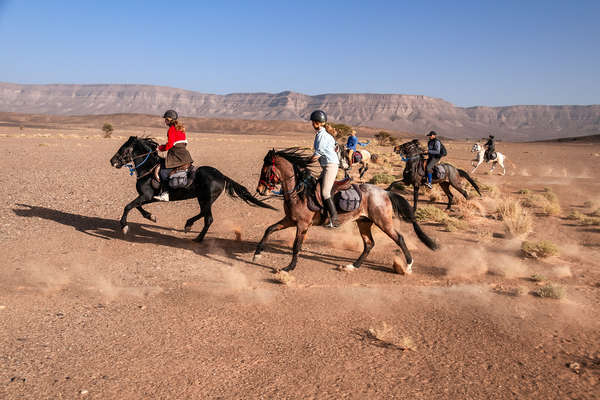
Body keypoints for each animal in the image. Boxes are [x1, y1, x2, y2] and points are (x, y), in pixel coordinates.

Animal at [109, 136, 274, 241]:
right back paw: (188, 225)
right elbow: (138, 207)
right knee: (202, 213)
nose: (112, 161)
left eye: (124, 149)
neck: (148, 169)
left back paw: (198, 238)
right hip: (204, 199)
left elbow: (128, 206)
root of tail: (221, 175)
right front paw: (151, 217)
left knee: (208, 218)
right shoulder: (148, 198)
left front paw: (124, 226)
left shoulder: (146, 196)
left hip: (206, 198)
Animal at [251, 148, 438, 274]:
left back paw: (408, 266)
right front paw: (257, 254)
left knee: (398, 238)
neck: (298, 192)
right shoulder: (290, 220)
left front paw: (289, 267)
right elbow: (269, 229)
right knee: (369, 243)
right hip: (364, 222)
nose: (260, 190)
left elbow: (297, 246)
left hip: (383, 222)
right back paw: (353, 266)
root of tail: (385, 192)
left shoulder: (302, 225)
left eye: (265, 170)